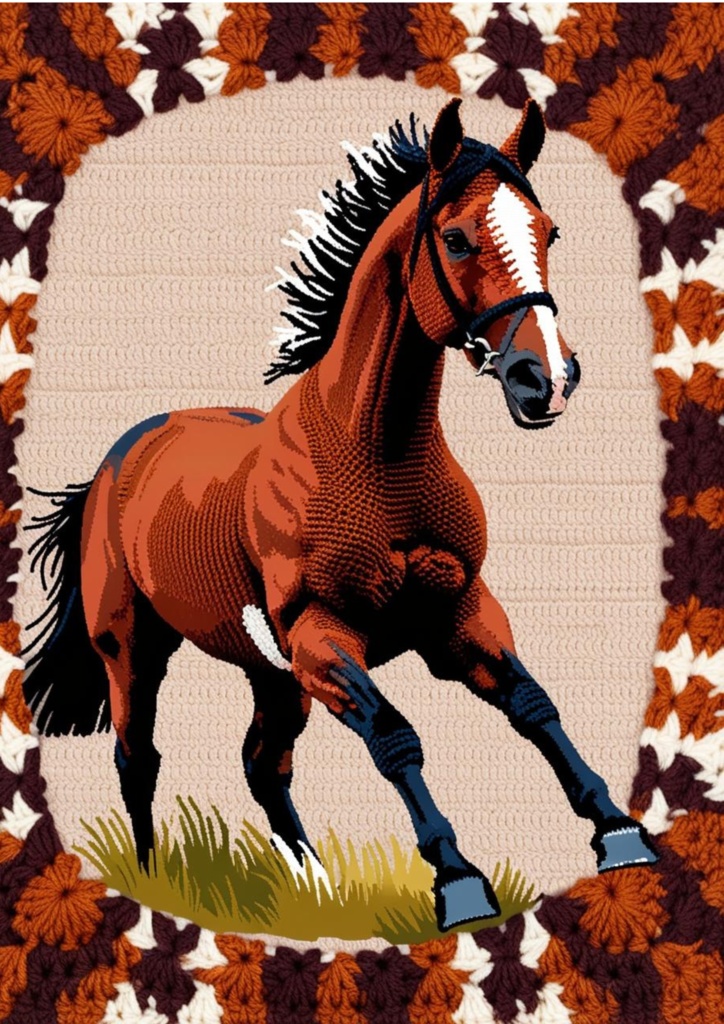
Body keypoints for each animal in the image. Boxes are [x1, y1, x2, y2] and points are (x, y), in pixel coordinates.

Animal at [23, 99, 658, 932]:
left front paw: (618, 832)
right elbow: (395, 737)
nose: (545, 379)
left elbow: (532, 704)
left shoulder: (460, 612)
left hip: (271, 672)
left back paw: (312, 889)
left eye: (548, 232)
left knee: (263, 764)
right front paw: (458, 880)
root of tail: (117, 459)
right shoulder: (325, 637)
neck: (375, 454)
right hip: (132, 648)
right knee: (139, 758)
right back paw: (151, 879)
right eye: (456, 237)